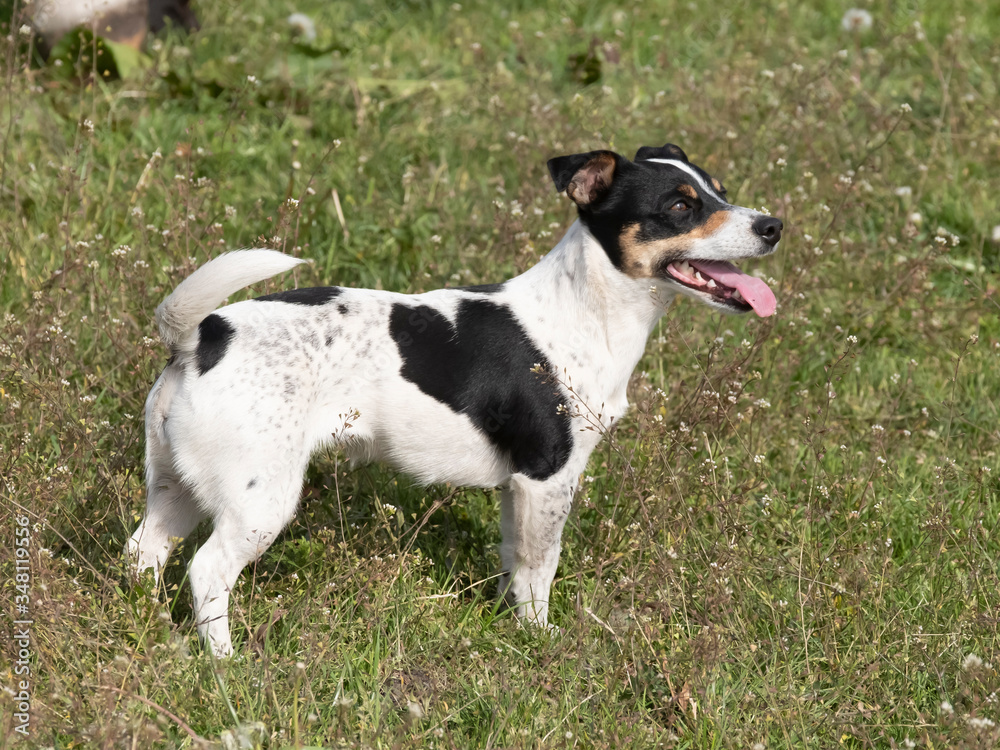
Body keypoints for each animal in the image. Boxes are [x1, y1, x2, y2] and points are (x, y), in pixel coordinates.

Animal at [125, 142, 780, 656]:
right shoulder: (549, 477)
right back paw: (226, 661)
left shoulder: (518, 489)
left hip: (175, 489)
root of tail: (202, 338)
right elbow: (540, 570)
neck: (583, 310)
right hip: (259, 500)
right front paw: (539, 641)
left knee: (144, 553)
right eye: (680, 206)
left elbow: (514, 562)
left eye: (720, 193)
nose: (773, 226)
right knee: (208, 571)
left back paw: (144, 627)